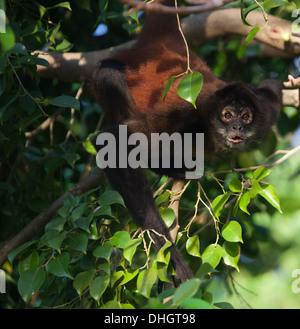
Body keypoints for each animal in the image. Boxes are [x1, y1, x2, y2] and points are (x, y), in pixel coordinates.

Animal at [91, 0, 282, 284]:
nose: (237, 127)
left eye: (246, 117)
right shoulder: (188, 116)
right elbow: (114, 143)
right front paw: (174, 260)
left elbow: (271, 89)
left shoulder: (265, 110)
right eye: (227, 115)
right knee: (108, 73)